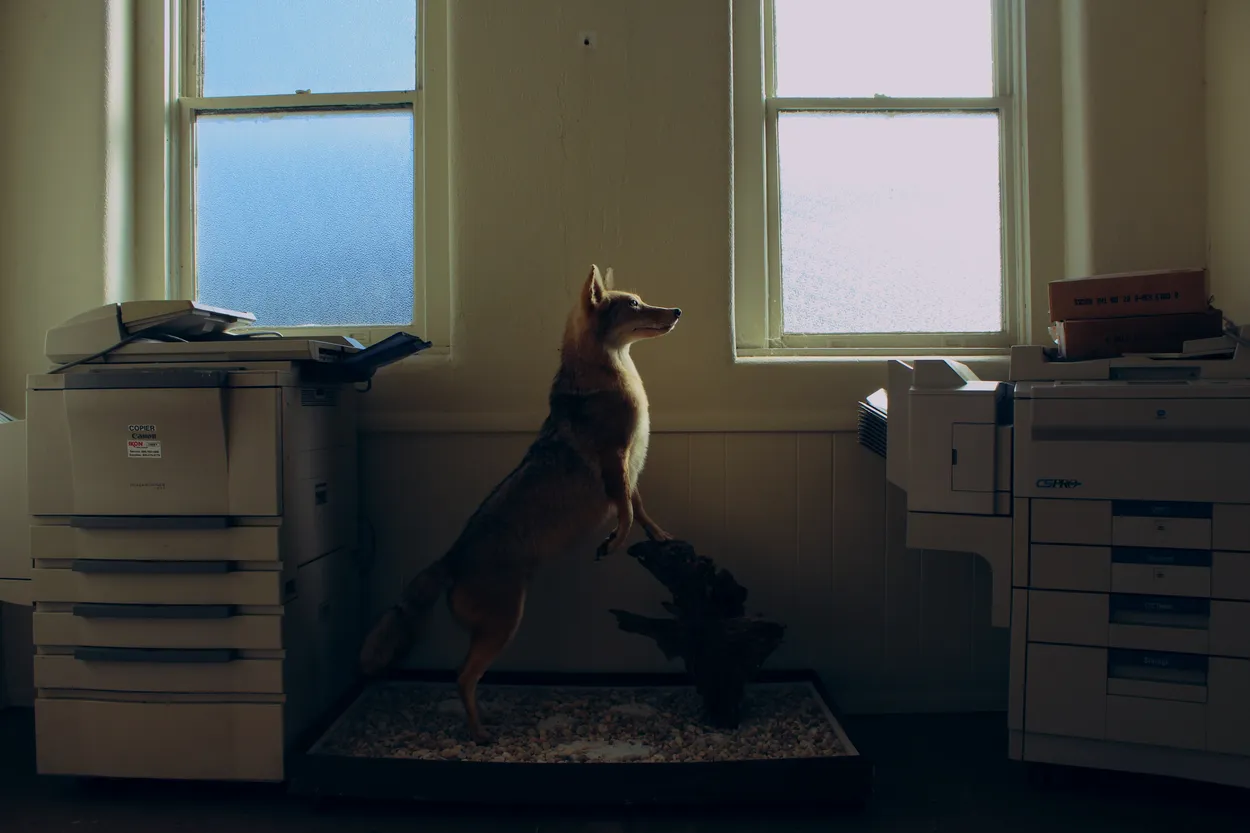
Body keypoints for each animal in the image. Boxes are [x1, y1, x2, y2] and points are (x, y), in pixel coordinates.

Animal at [358, 263, 682, 743]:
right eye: (636, 305)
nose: (677, 310)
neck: (610, 373)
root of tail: (451, 557)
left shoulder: (628, 468)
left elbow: (640, 509)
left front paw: (659, 536)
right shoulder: (616, 463)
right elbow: (625, 513)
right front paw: (616, 541)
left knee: (466, 677)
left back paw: (484, 722)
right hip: (505, 625)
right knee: (462, 677)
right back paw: (479, 734)